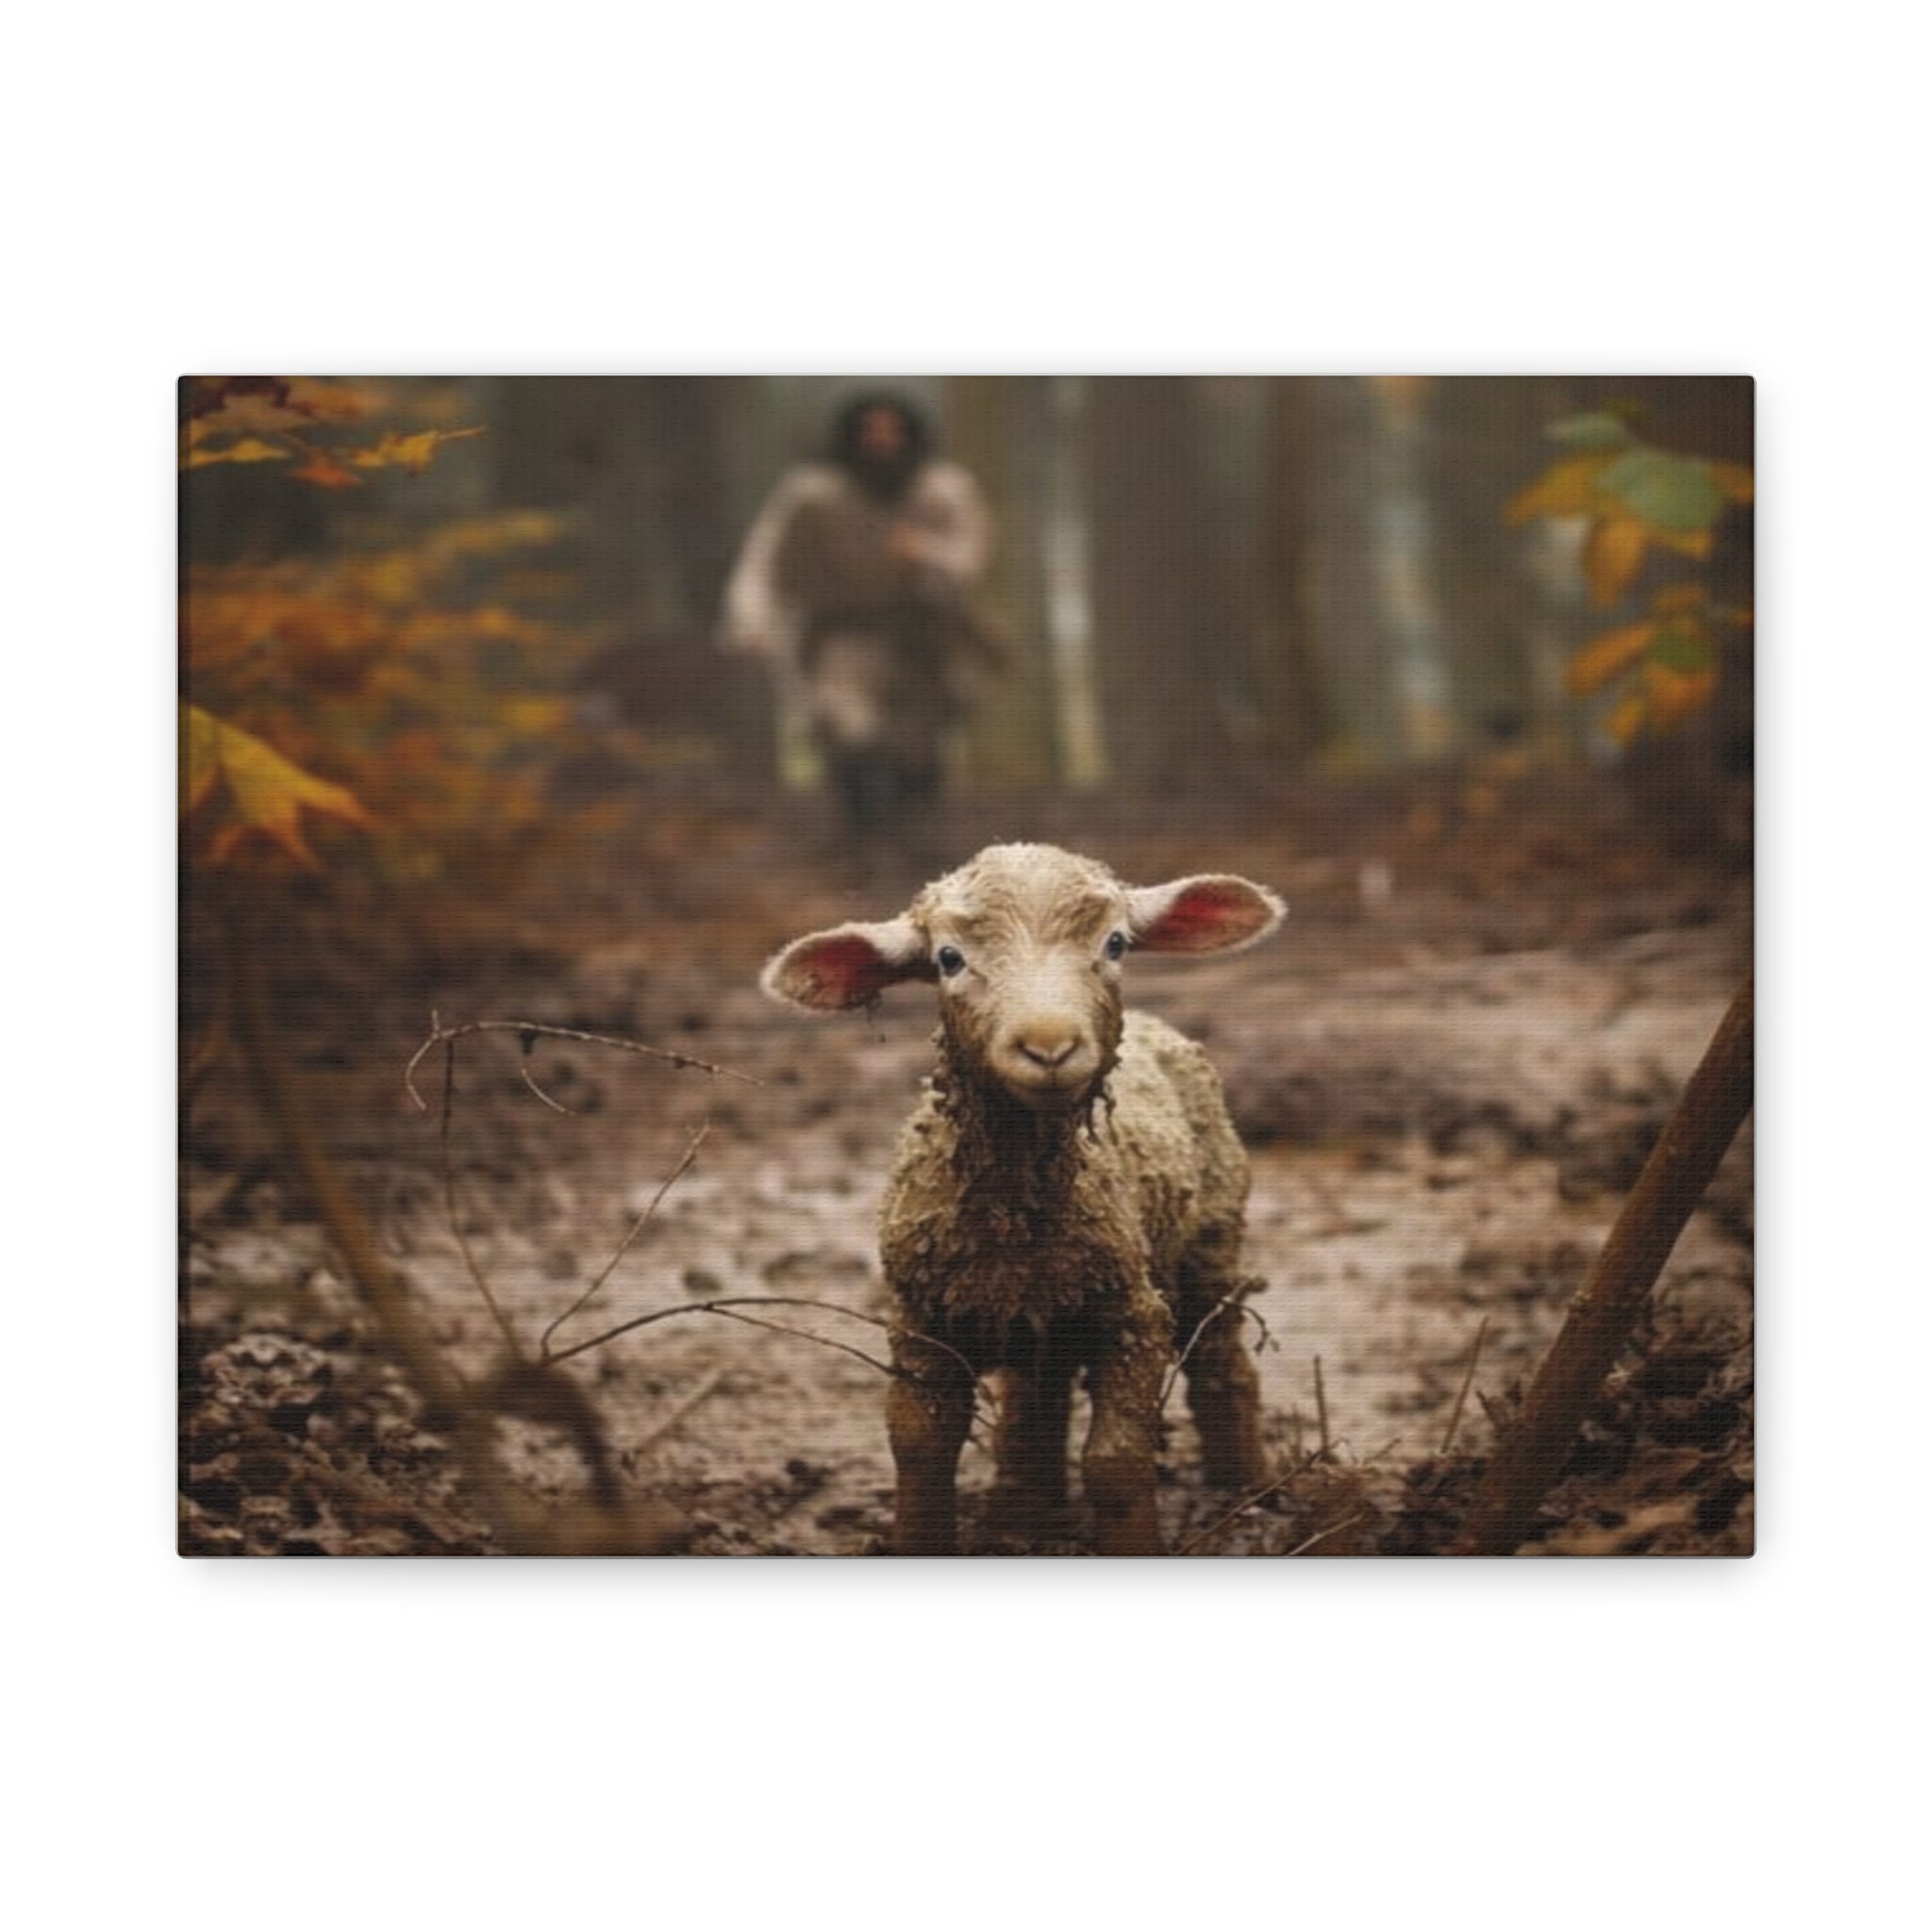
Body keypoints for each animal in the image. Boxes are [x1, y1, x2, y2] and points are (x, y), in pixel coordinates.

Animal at [761, 842, 1284, 1554]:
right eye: (948, 958)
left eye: (1115, 943)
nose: (1048, 1046)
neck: (1016, 1213)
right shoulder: (919, 1321)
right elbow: (920, 1447)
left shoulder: (1133, 1316)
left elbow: (1116, 1461)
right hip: (1048, 1313)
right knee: (1039, 1392)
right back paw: (1025, 1509)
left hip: (1211, 1238)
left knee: (1221, 1361)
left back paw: (1249, 1492)